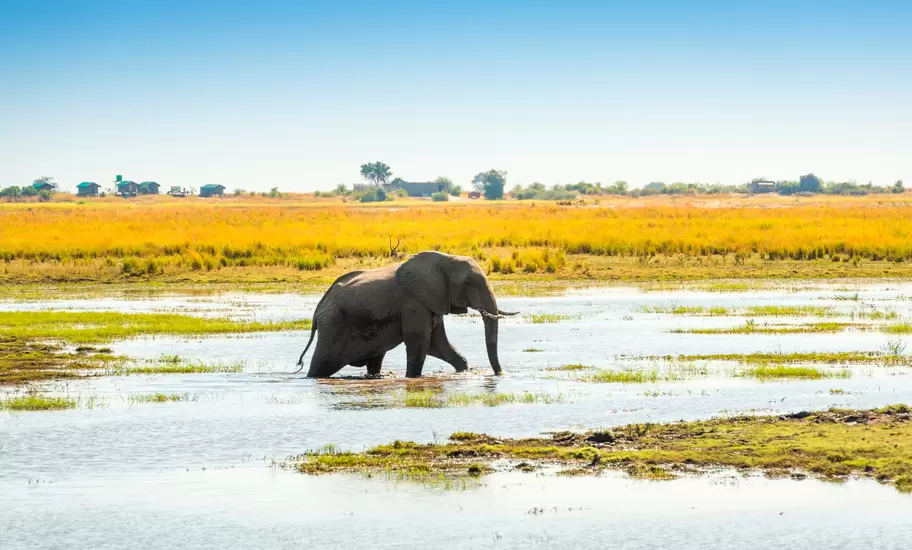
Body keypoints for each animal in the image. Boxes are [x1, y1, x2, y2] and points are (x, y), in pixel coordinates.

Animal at [294, 251, 518, 378]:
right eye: (468, 283)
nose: (498, 375)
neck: (444, 260)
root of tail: (318, 309)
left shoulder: (432, 302)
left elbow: (438, 345)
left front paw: (463, 370)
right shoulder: (414, 305)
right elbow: (421, 343)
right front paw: (413, 379)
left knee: (375, 360)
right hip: (332, 327)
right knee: (320, 365)